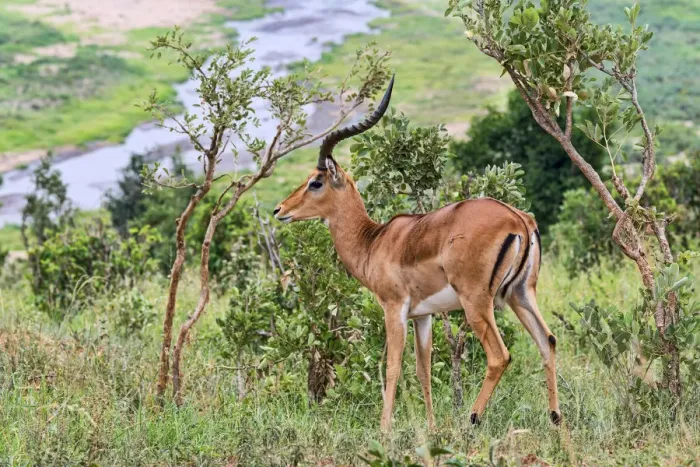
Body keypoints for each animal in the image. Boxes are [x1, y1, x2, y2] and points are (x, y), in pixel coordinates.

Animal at [274, 76, 560, 432]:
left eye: (316, 181)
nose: (279, 209)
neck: (374, 241)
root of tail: (518, 219)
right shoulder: (423, 316)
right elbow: (423, 369)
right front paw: (432, 428)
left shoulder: (394, 308)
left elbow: (393, 366)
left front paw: (384, 429)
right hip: (520, 293)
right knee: (547, 340)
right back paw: (556, 420)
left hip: (477, 302)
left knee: (500, 356)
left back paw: (472, 419)